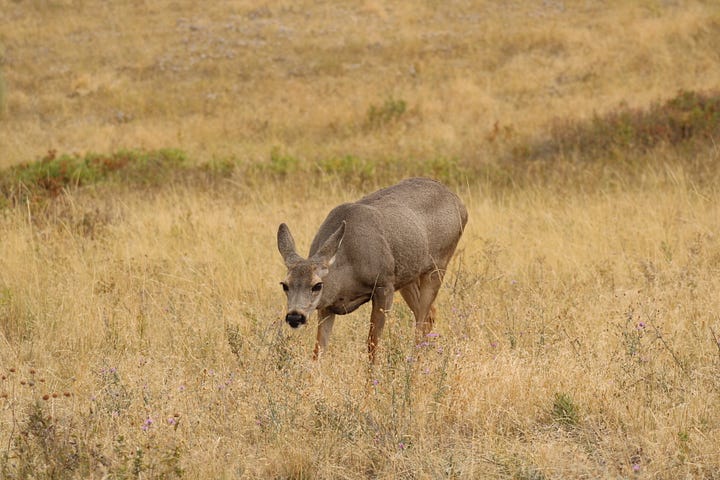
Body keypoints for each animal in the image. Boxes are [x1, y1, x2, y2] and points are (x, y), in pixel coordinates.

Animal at [276, 176, 466, 360]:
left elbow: (372, 343)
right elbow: (318, 350)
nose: (295, 316)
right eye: (285, 285)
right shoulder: (327, 306)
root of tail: (460, 205)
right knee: (429, 314)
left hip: (438, 264)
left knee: (421, 322)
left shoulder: (384, 285)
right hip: (407, 275)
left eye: (317, 285)